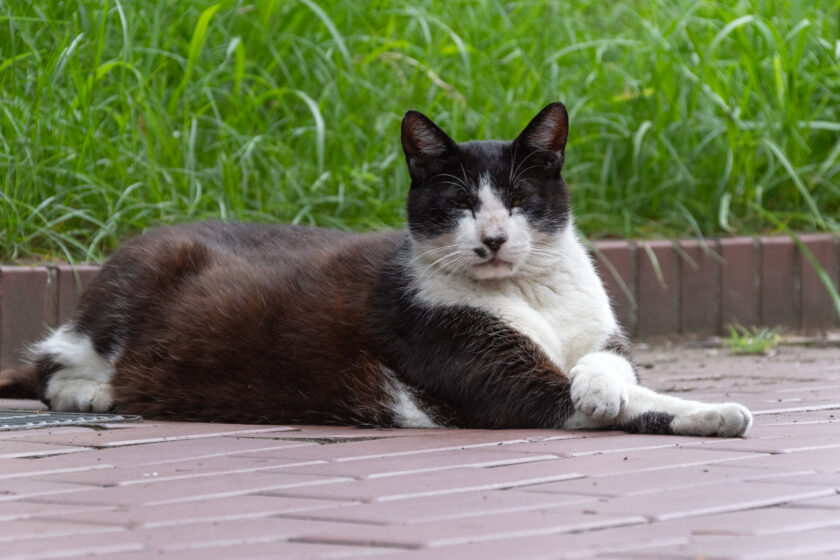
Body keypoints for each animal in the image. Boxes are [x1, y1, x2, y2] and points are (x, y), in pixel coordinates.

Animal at [0, 104, 752, 438]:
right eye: (458, 204)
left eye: (516, 200)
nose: (492, 239)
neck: (528, 292)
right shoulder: (506, 385)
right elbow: (640, 404)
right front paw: (714, 410)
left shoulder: (596, 335)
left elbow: (615, 368)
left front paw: (618, 391)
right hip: (132, 283)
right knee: (48, 363)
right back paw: (93, 393)